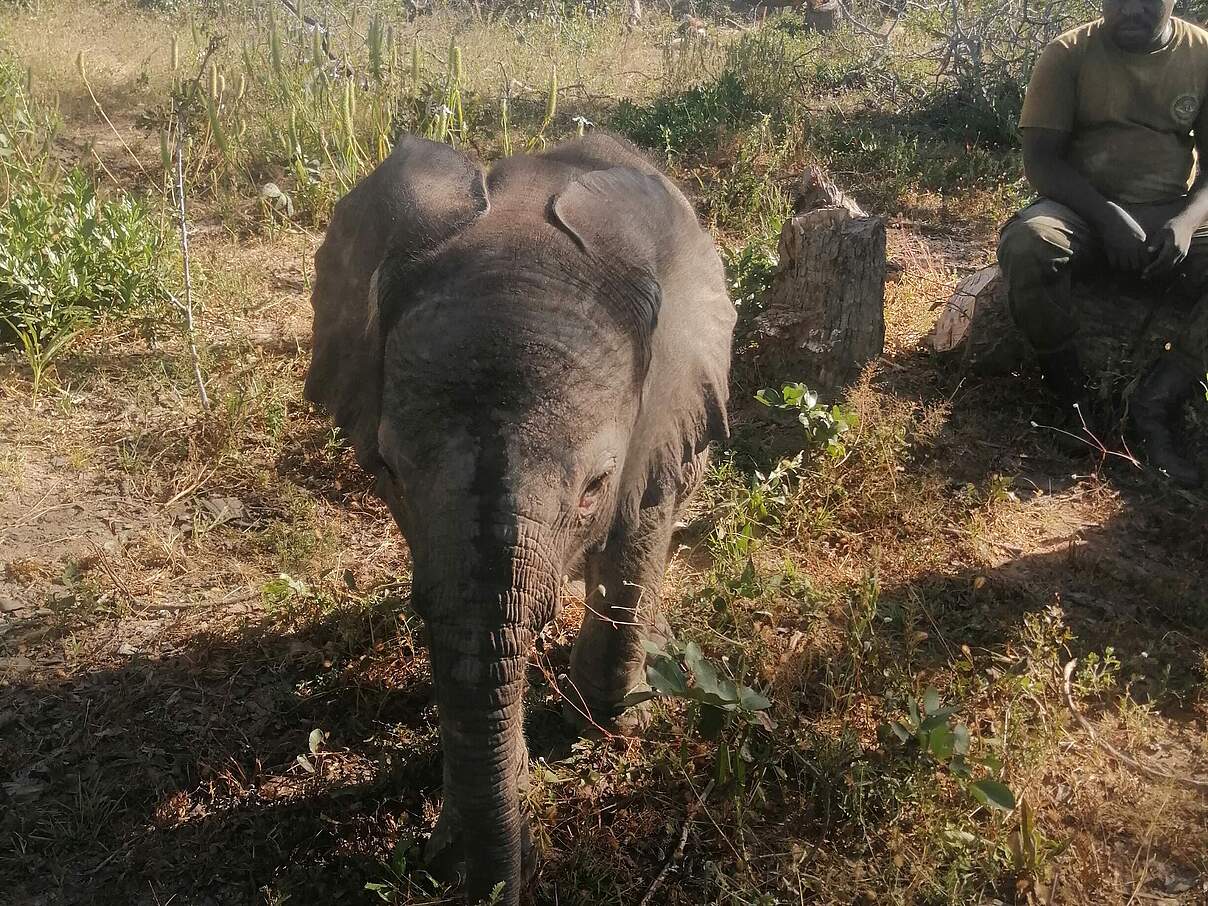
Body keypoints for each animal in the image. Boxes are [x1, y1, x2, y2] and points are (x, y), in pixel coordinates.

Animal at [302, 131, 734, 903]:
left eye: (595, 487)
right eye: (390, 471)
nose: (508, 878)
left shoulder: (665, 414)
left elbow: (636, 540)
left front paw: (606, 725)